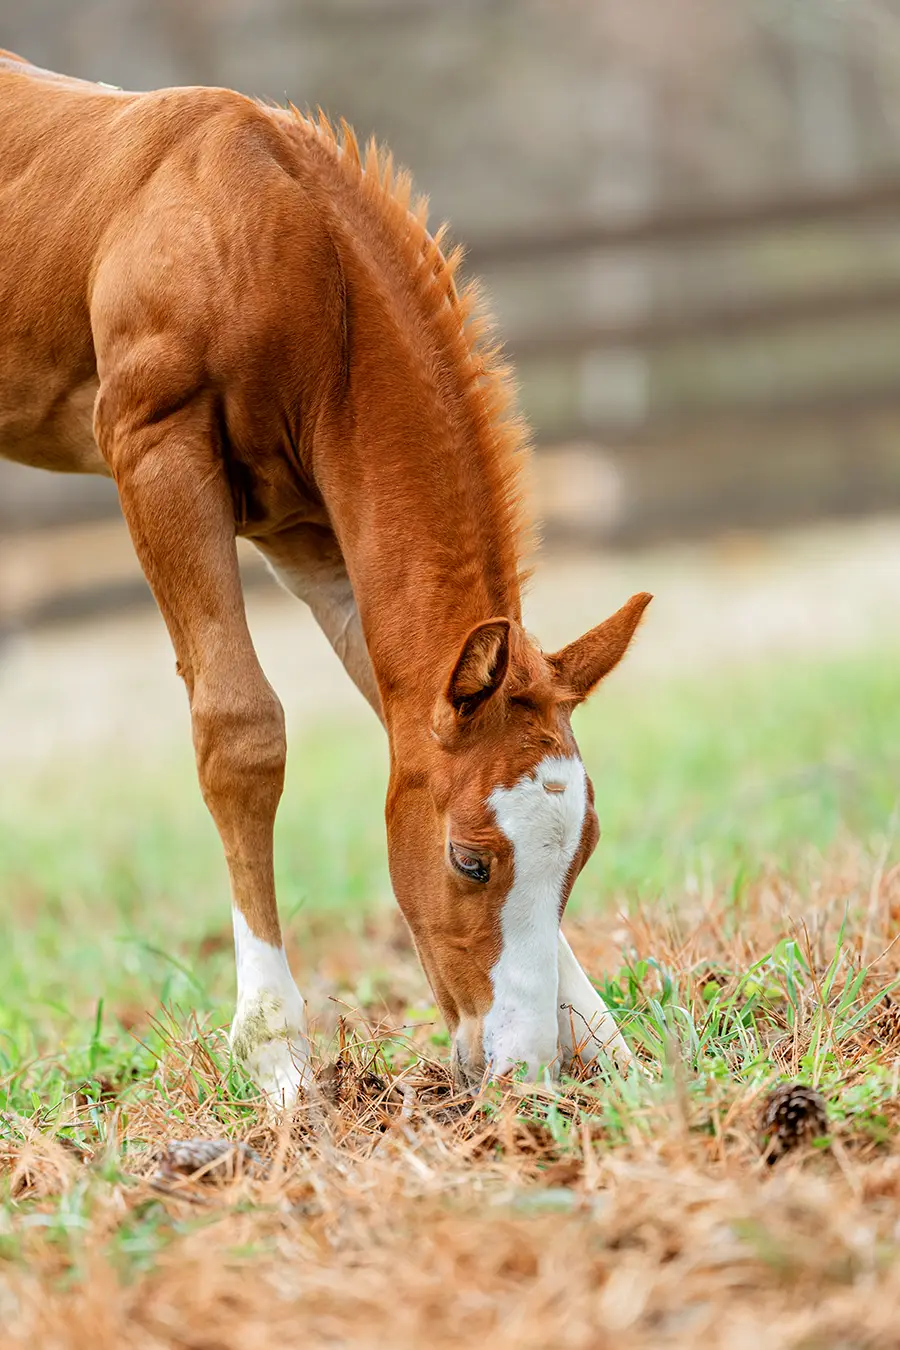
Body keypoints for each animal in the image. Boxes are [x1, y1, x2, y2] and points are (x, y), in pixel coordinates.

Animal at [0, 52, 651, 1104]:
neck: (290, 242)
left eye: (581, 854)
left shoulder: (310, 530)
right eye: (470, 862)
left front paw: (610, 1047)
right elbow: (240, 733)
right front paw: (276, 1052)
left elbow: (397, 713)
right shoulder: (153, 447)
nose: (521, 1073)